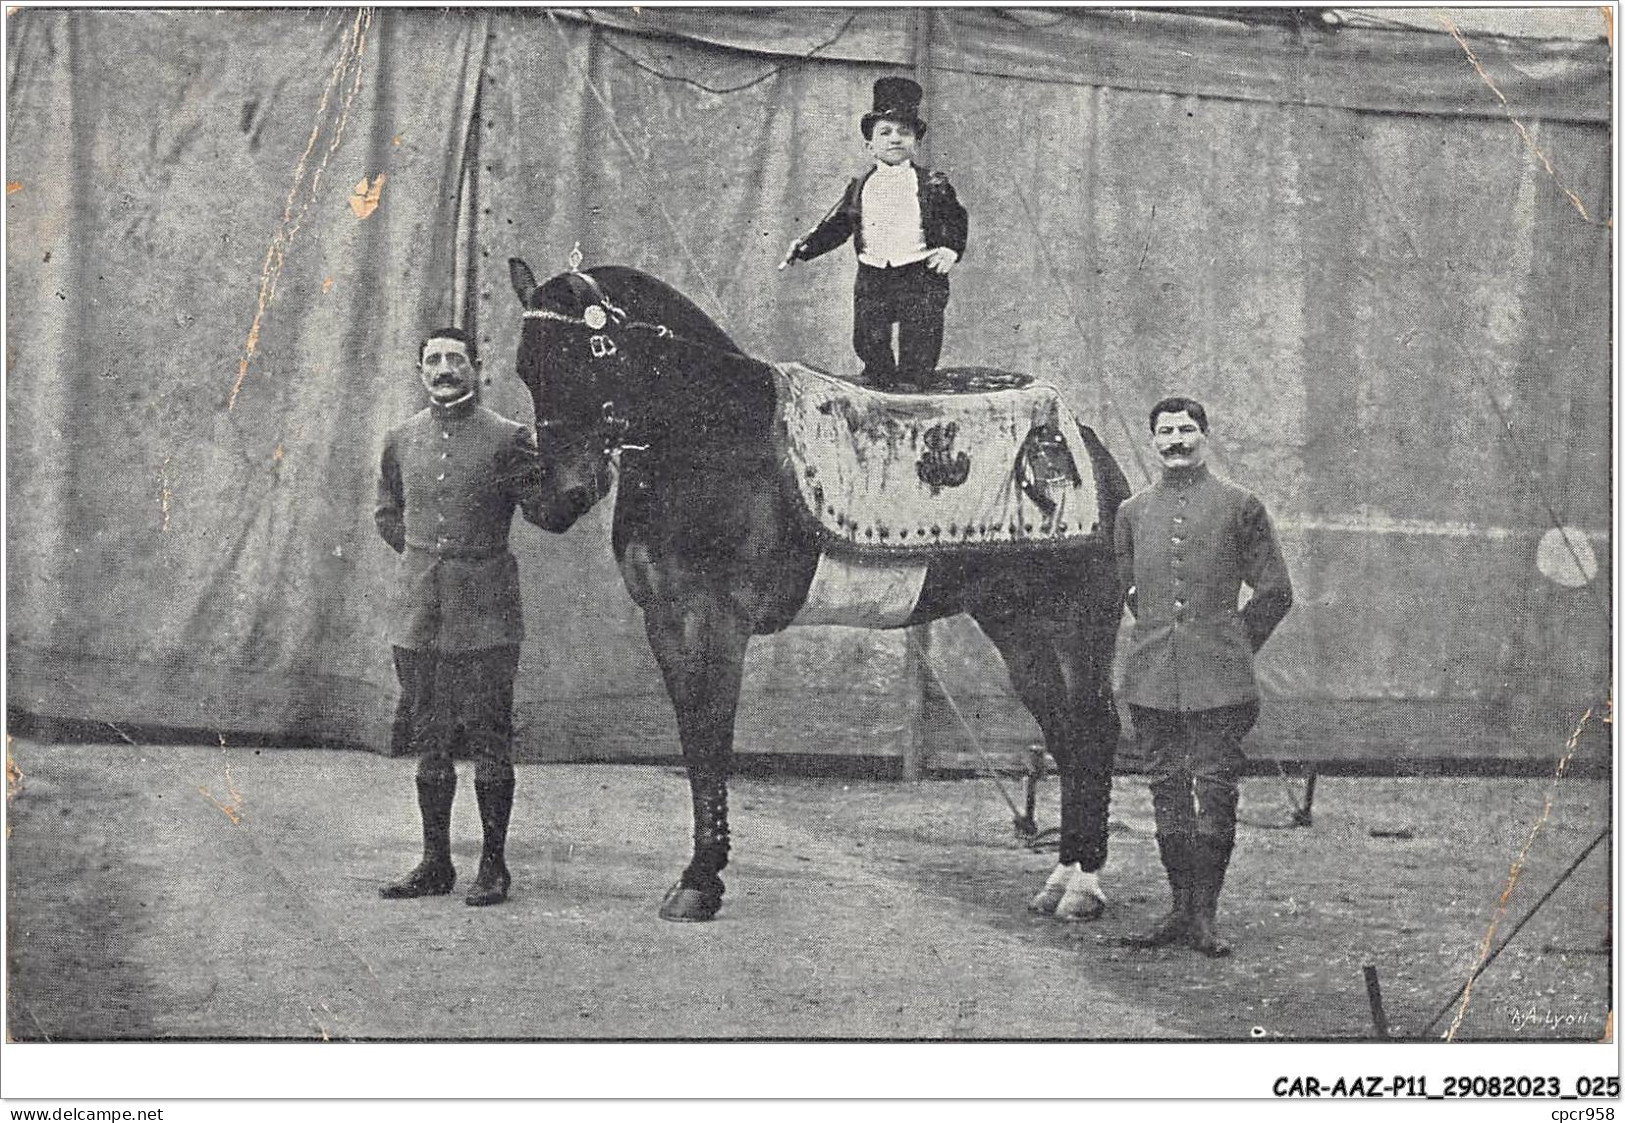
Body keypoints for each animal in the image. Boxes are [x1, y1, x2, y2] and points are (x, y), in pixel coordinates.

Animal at [507, 261, 1131, 923]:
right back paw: (1060, 879)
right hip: (1018, 626)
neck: (716, 440)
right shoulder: (666, 621)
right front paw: (699, 875)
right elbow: (693, 741)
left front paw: (701, 881)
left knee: (1094, 728)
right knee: (1064, 731)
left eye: (587, 356)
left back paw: (1083, 887)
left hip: (1077, 622)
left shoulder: (716, 622)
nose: (549, 497)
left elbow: (711, 739)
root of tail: (1087, 448)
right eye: (526, 369)